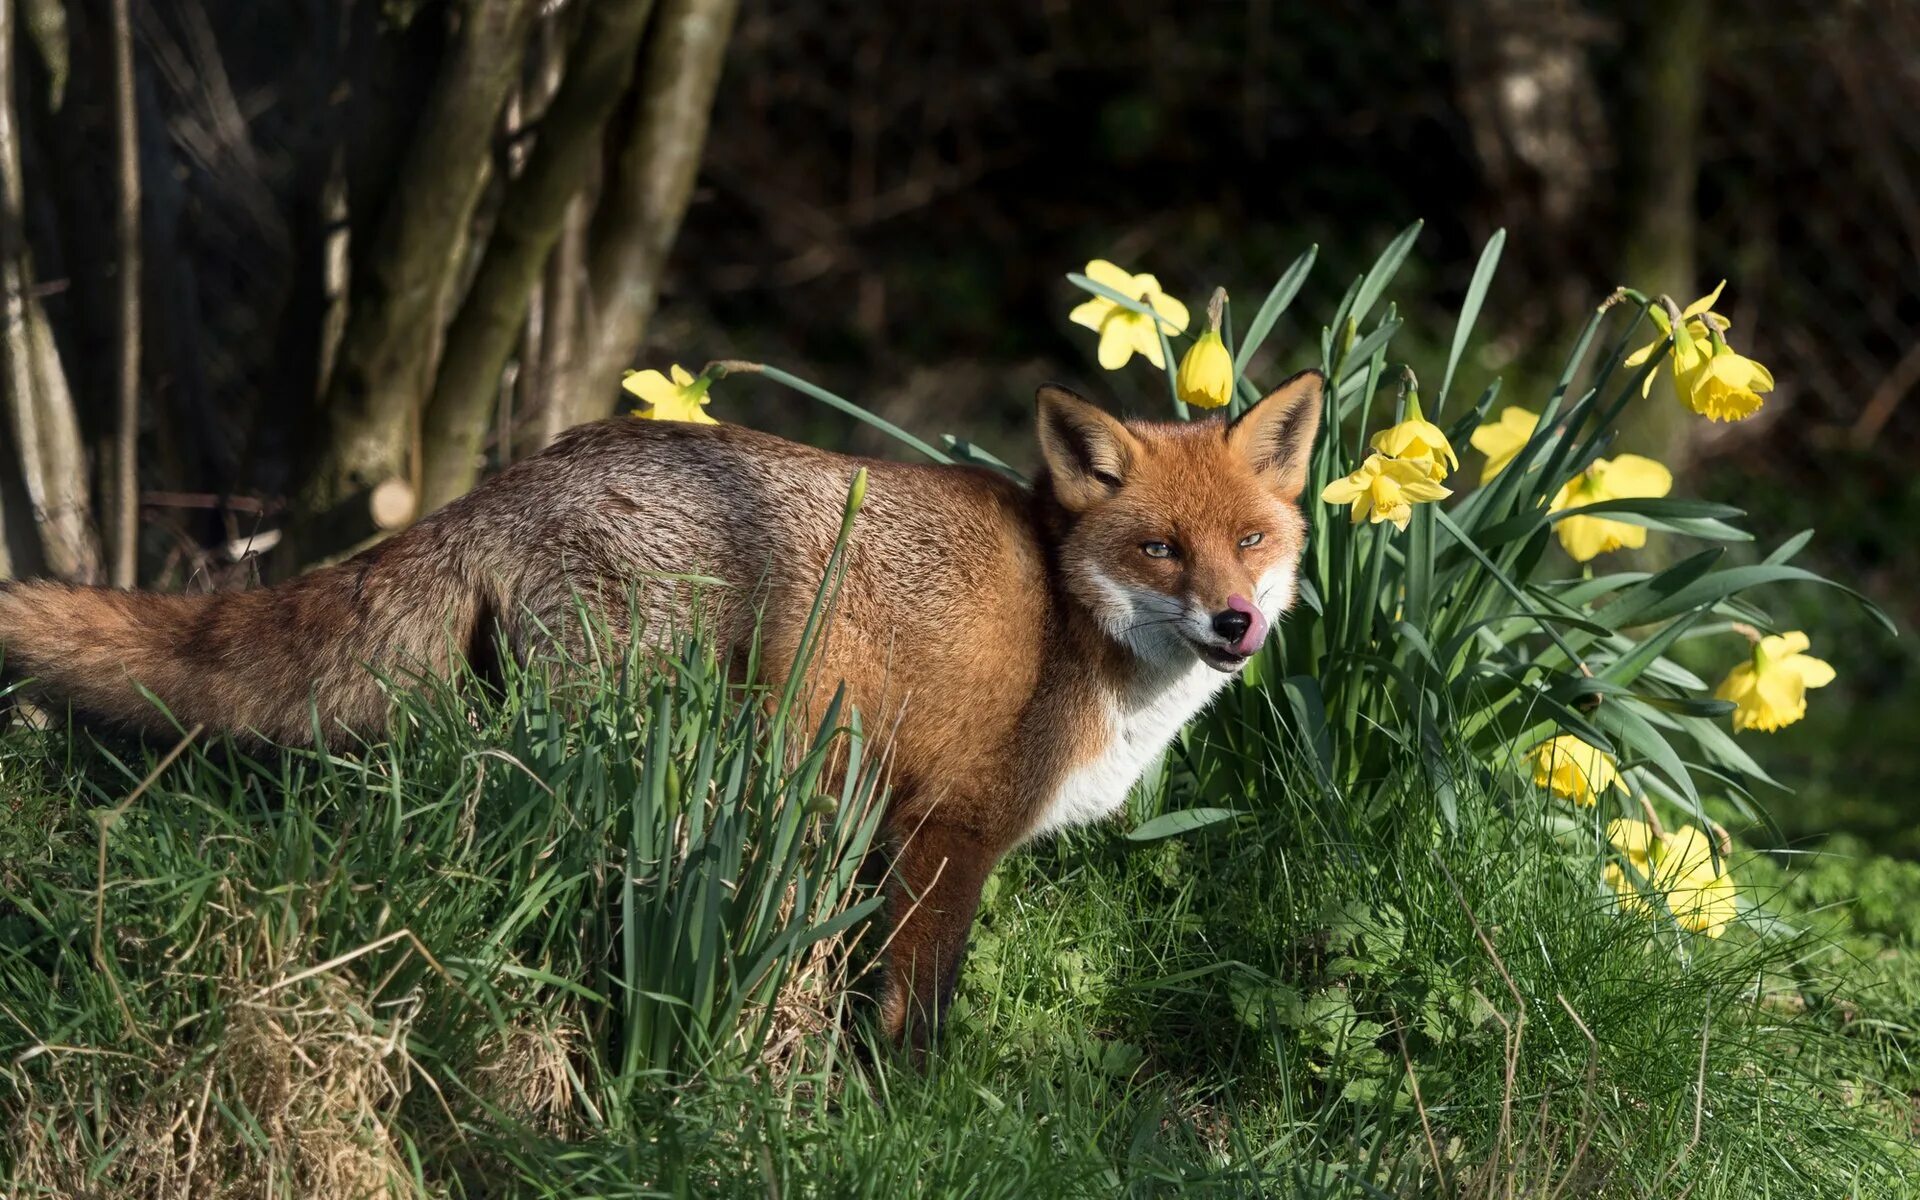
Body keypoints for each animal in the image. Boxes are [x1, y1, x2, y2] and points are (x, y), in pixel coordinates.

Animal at [0, 370, 1320, 1044]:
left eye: (1252, 542)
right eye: (1159, 549)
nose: (1234, 625)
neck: (1072, 618)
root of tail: (521, 471)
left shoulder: (886, 830)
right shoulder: (949, 829)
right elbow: (915, 1010)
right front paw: (903, 1104)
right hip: (634, 739)